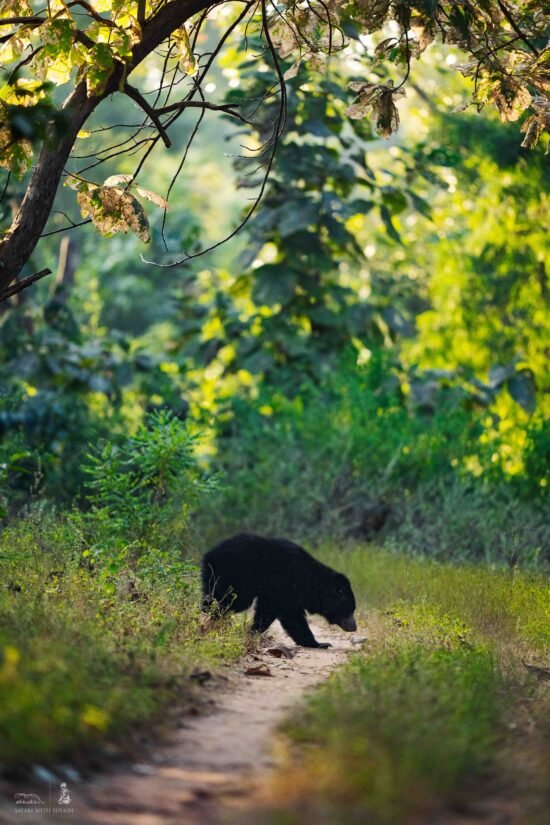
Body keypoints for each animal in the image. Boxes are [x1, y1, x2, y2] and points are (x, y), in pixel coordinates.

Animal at [203, 532, 358, 648]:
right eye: (349, 609)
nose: (354, 627)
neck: (310, 583)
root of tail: (209, 554)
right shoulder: (285, 586)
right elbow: (279, 613)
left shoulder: (289, 594)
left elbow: (287, 616)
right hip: (234, 575)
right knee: (226, 600)